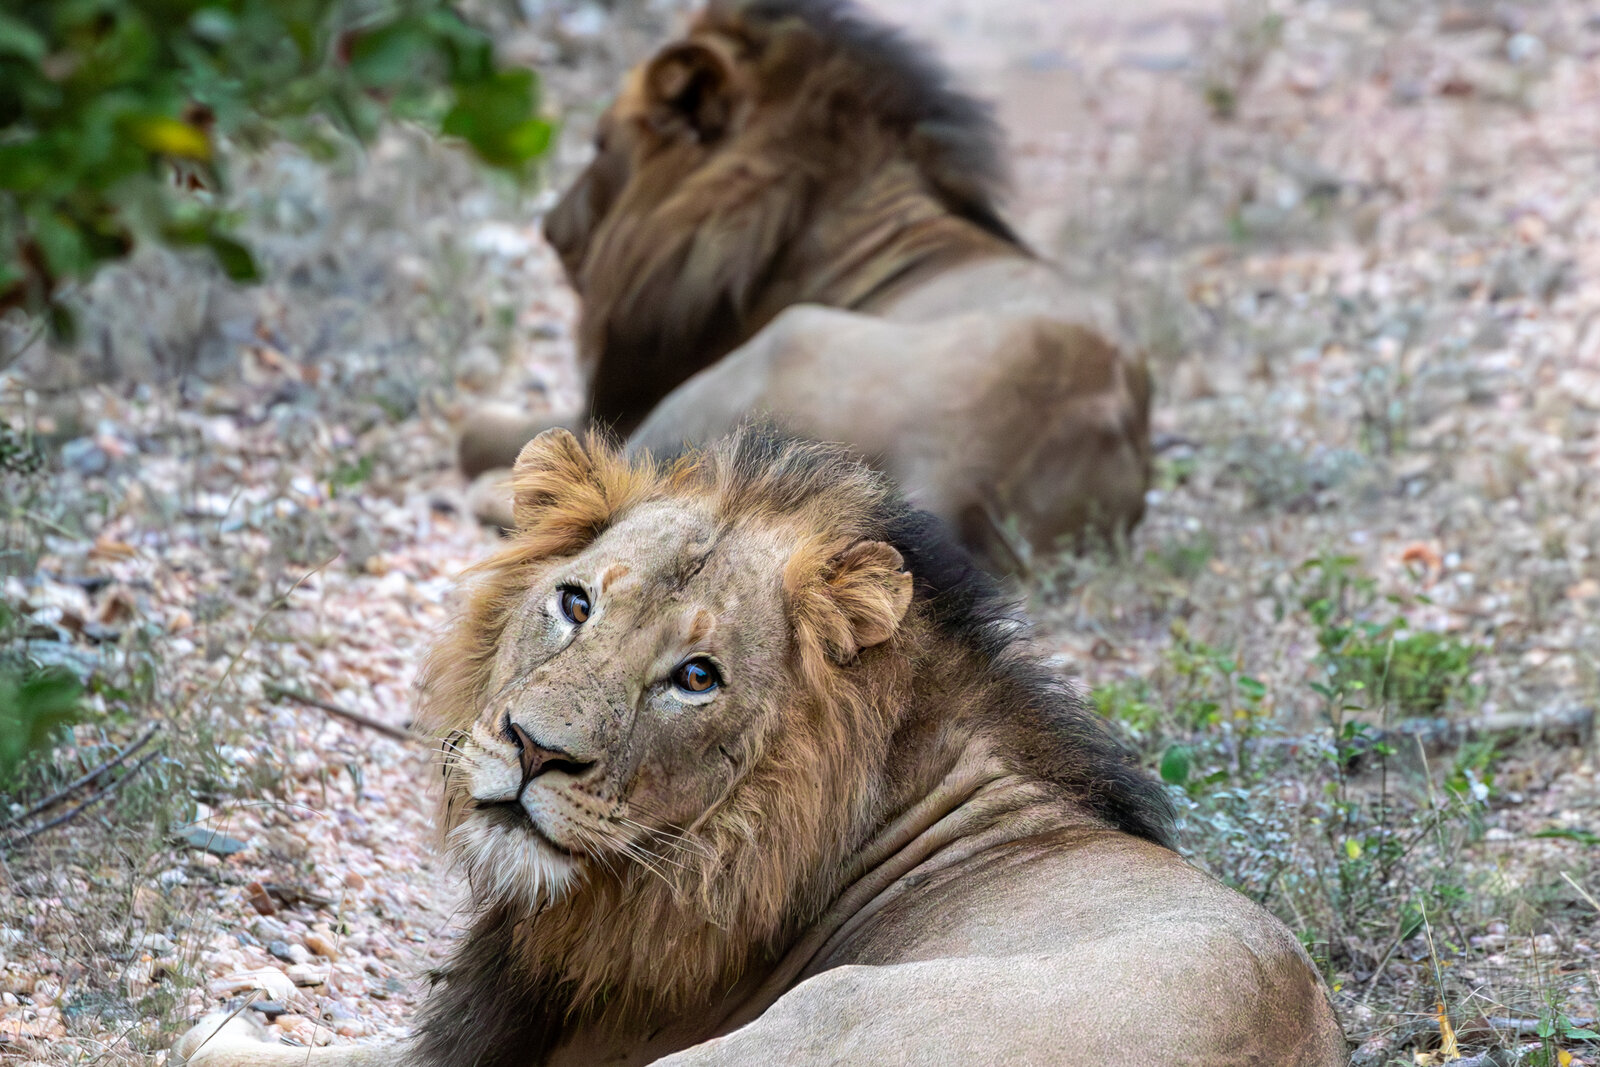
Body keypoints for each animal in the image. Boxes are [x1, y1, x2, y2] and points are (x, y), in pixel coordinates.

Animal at [458, 0, 1152, 567]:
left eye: (600, 143)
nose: (551, 228)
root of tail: (967, 463)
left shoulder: (623, 400)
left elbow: (485, 431)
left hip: (771, 351)